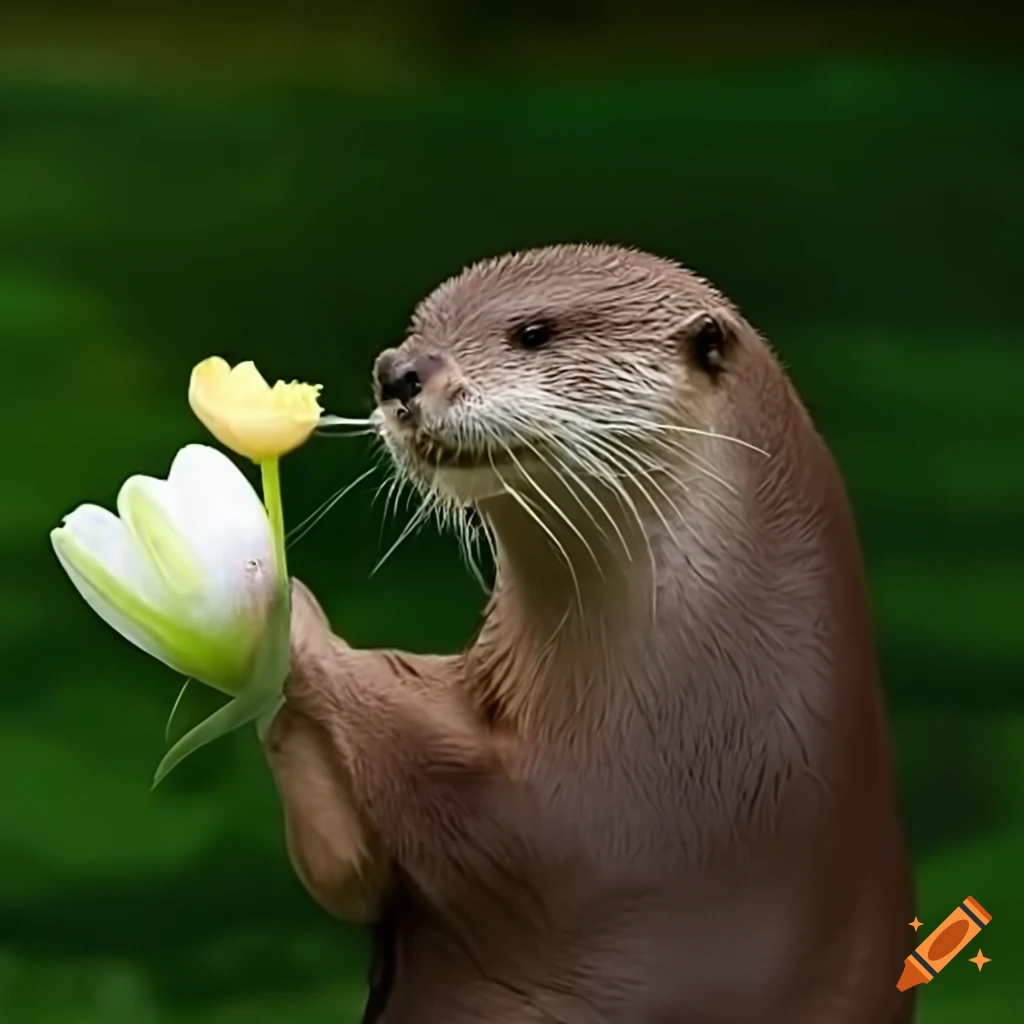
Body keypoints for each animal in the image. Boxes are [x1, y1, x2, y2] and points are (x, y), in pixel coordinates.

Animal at [265, 245, 915, 1023]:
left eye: (533, 333)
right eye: (418, 328)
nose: (397, 371)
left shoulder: (617, 816)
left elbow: (451, 791)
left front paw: (287, 611)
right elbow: (350, 875)